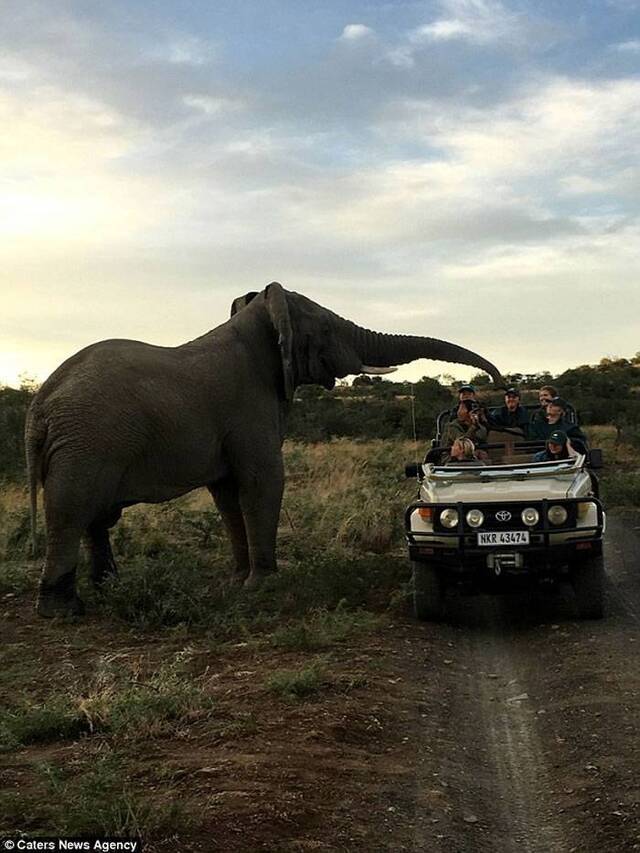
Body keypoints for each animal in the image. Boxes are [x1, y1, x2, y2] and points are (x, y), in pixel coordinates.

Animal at [25, 282, 502, 616]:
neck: (261, 320)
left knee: (95, 518)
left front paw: (238, 582)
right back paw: (63, 610)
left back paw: (108, 587)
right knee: (71, 511)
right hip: (87, 443)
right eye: (326, 328)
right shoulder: (246, 404)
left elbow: (227, 494)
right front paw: (264, 586)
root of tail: (39, 406)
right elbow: (262, 481)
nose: (496, 383)